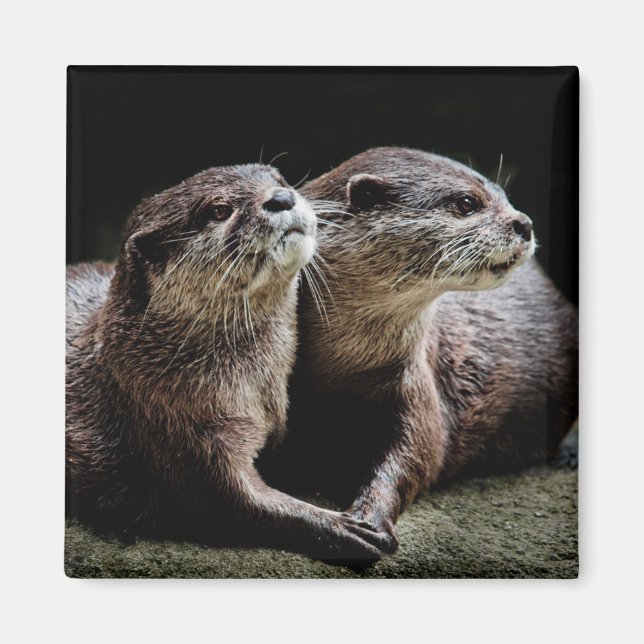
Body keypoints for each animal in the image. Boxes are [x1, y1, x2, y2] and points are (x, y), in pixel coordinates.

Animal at [66, 163, 391, 562]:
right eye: (219, 211)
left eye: (279, 181)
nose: (282, 198)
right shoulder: (177, 425)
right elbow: (231, 502)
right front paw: (342, 527)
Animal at [259, 147, 578, 554]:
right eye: (467, 203)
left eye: (505, 197)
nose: (524, 223)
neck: (343, 369)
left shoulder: (418, 384)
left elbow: (416, 456)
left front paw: (371, 519)